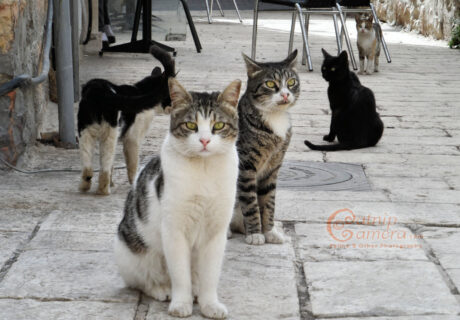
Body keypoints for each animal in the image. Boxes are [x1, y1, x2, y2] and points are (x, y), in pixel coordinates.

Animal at [77, 45, 174, 195]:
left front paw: (112, 183)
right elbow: (132, 164)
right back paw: (103, 190)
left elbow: (112, 165)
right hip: (108, 135)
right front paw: (133, 183)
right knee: (104, 167)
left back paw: (85, 186)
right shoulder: (132, 139)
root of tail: (100, 91)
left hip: (85, 132)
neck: (141, 90)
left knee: (88, 166)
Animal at [114, 78, 241, 320]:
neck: (204, 170)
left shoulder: (216, 231)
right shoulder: (174, 229)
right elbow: (180, 273)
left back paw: (196, 292)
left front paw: (209, 304)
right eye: (191, 125)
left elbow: (210, 274)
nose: (204, 140)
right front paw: (181, 303)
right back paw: (162, 289)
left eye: (218, 126)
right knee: (141, 280)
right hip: (133, 251)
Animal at [229, 50, 298, 245]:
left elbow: (268, 202)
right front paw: (255, 234)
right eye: (270, 83)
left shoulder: (273, 168)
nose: (285, 95)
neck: (274, 117)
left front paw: (269, 231)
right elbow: (251, 203)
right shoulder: (246, 166)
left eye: (291, 82)